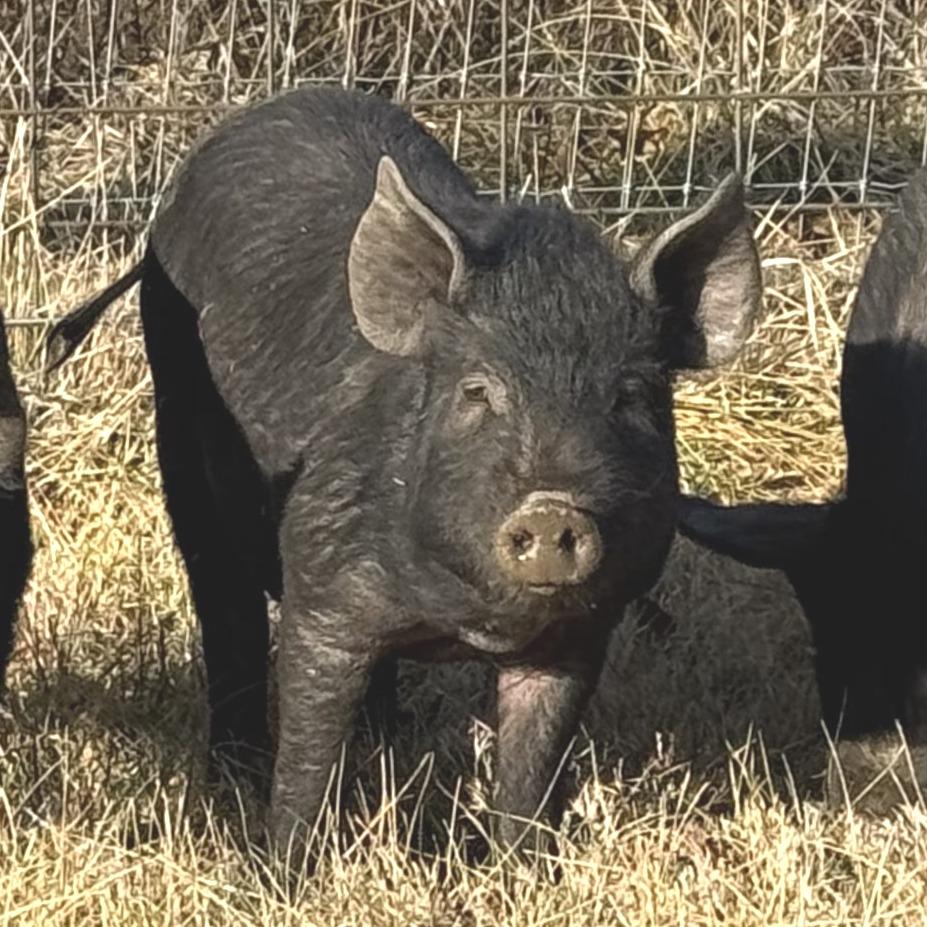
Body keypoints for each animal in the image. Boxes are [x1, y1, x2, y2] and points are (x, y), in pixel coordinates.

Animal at [47, 86, 762, 848]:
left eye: (629, 395)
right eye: (477, 391)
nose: (550, 508)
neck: (463, 619)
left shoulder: (577, 633)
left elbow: (532, 767)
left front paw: (523, 861)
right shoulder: (323, 584)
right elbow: (308, 752)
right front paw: (283, 862)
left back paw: (384, 741)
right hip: (180, 433)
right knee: (225, 612)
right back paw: (233, 778)